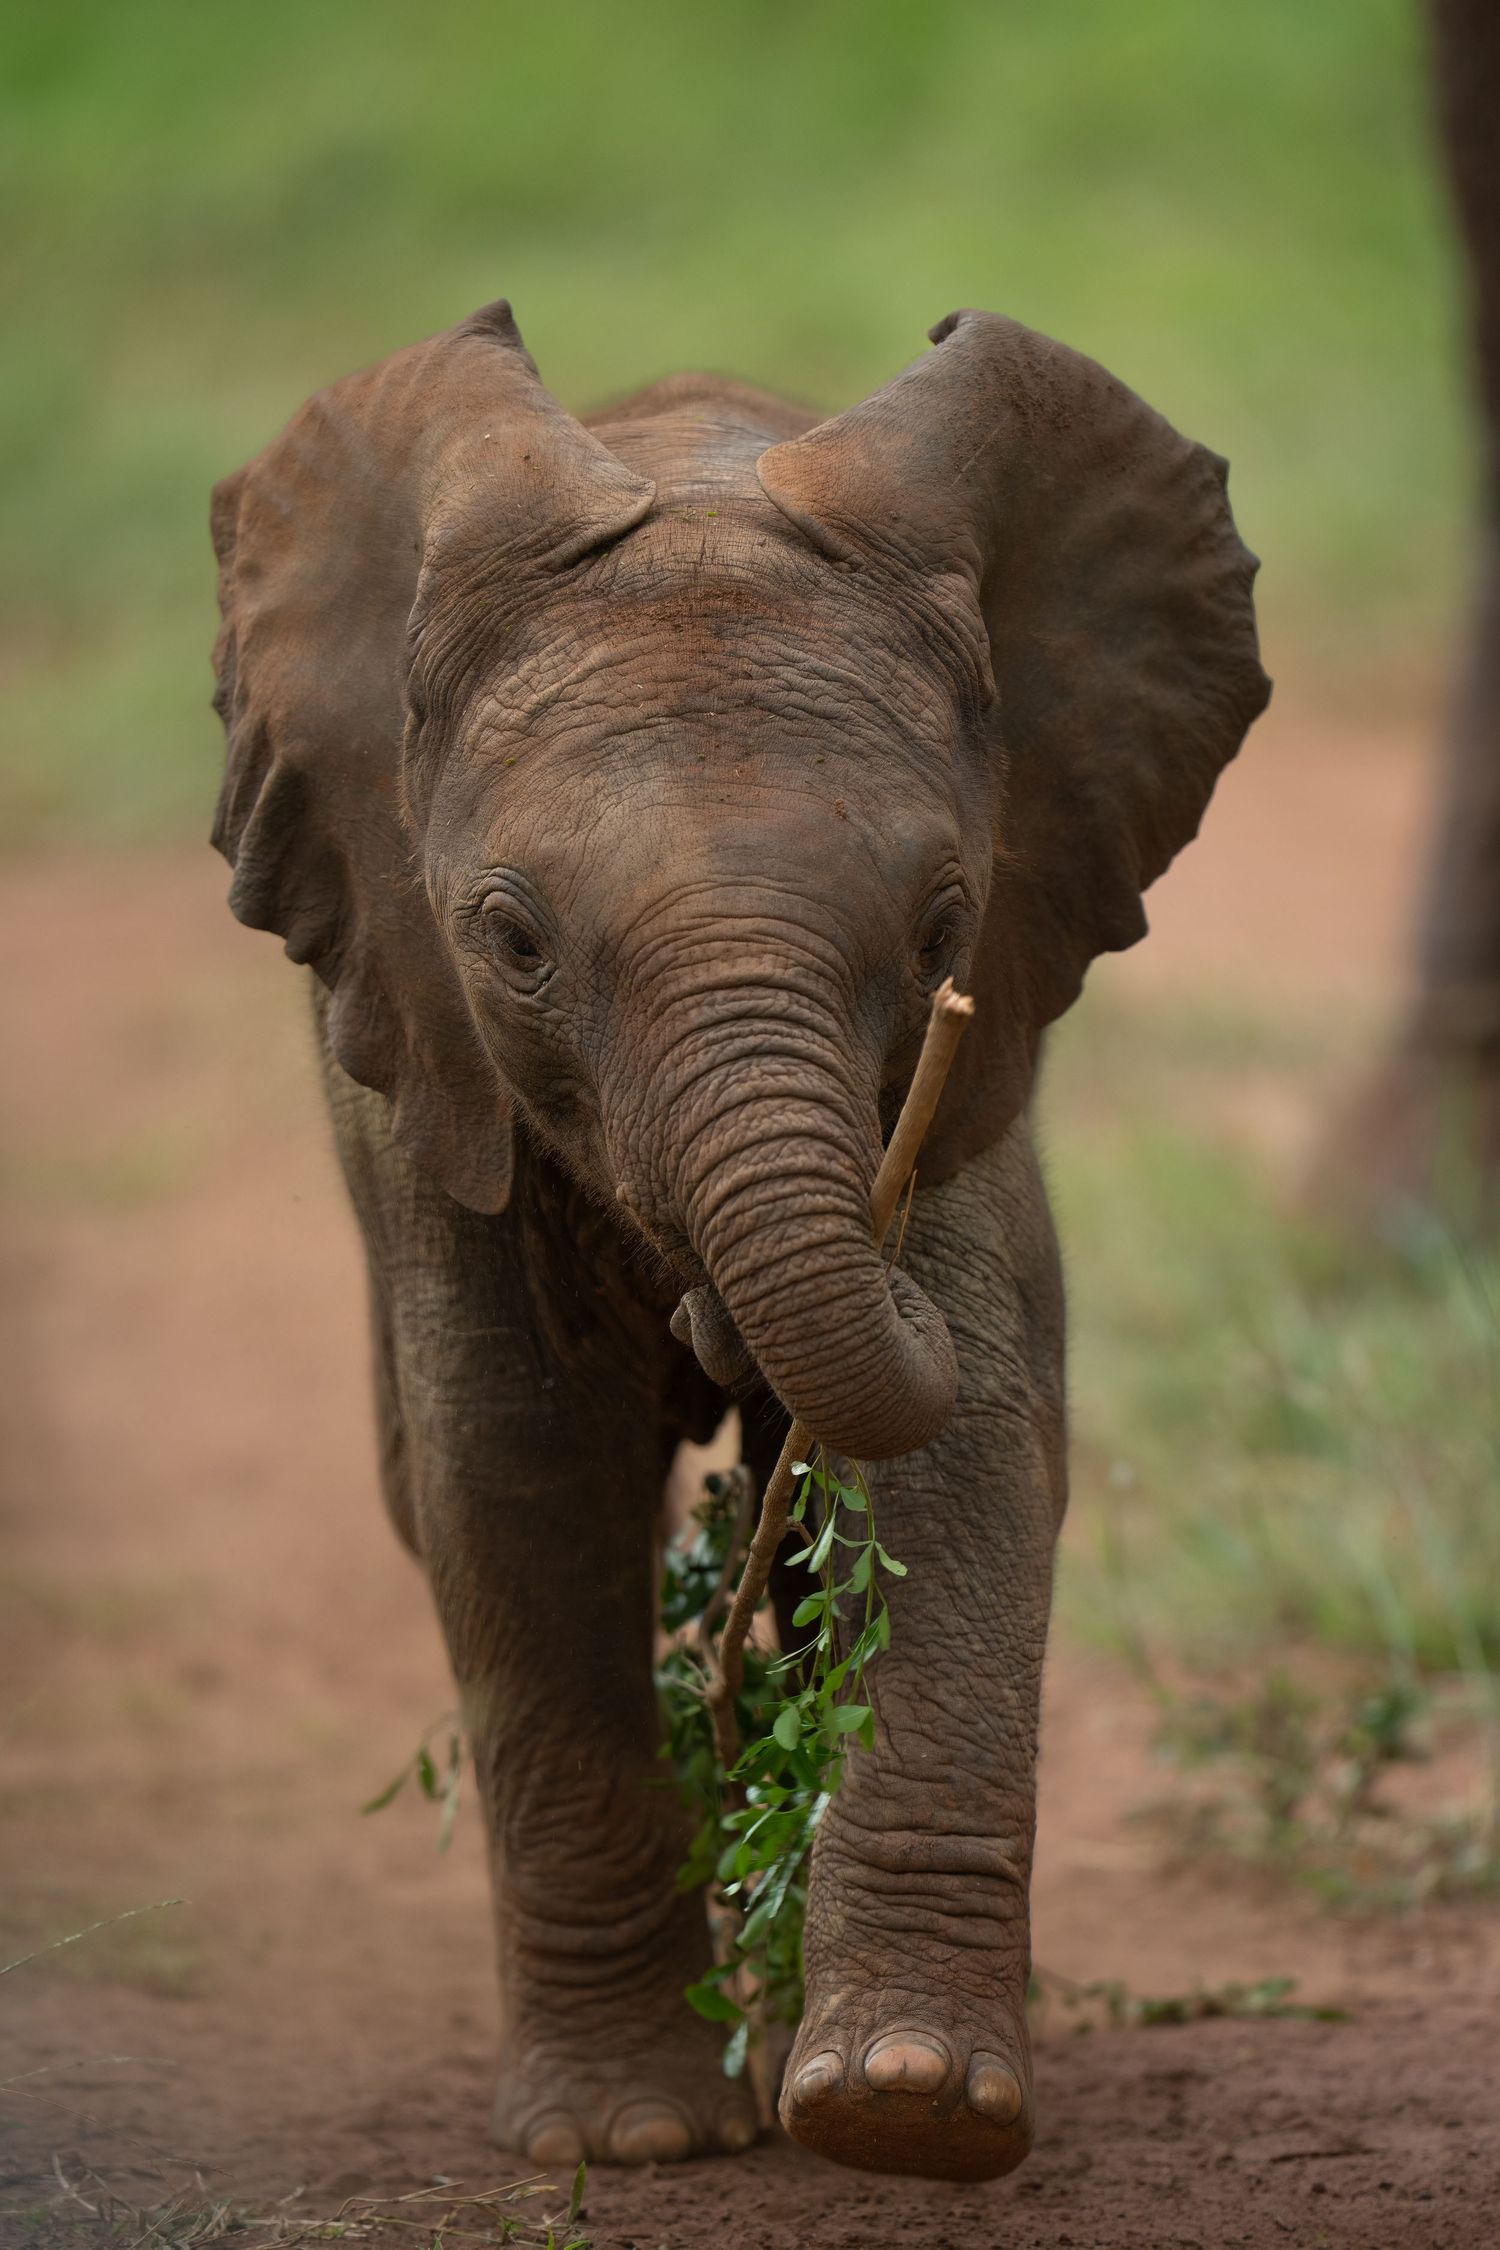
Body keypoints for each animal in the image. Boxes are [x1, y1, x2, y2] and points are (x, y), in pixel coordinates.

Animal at [209, 300, 1267, 2182]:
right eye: (513, 942)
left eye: (942, 928)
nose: (707, 1320)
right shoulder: (435, 1078)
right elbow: (518, 1479)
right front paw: (622, 2139)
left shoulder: (959, 1074)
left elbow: (964, 1451)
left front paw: (911, 2107)